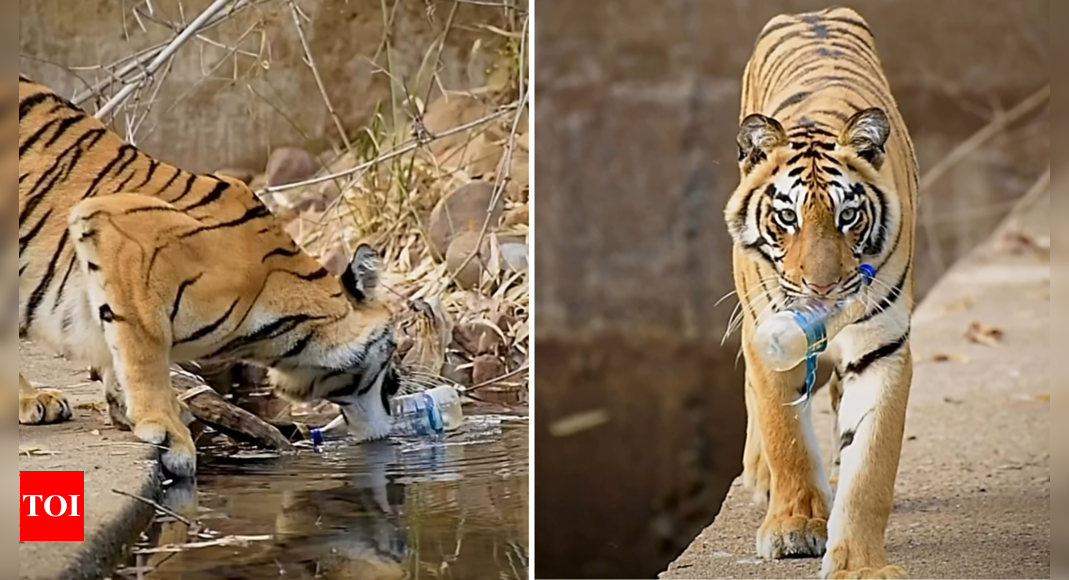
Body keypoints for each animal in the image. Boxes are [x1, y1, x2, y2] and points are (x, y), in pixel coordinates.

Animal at [18, 75, 401, 479]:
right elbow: (144, 350)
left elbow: (116, 346)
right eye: (393, 349)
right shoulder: (117, 232)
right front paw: (167, 431)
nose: (397, 383)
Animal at [724, 7, 917, 579]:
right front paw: (795, 526)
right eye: (787, 216)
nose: (823, 286)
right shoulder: (769, 334)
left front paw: (859, 563)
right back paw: (760, 475)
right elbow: (785, 435)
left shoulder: (883, 347)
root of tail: (812, 12)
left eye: (847, 215)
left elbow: (870, 466)